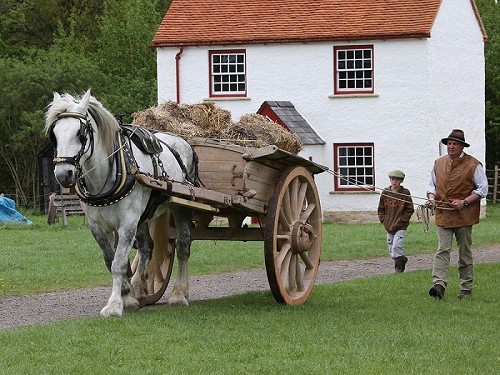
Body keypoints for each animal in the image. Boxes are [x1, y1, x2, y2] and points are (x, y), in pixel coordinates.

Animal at [45, 91, 197, 318]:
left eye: (80, 133)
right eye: (54, 135)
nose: (64, 175)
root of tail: (182, 141)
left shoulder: (126, 224)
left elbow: (118, 263)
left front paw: (115, 305)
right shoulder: (97, 226)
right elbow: (111, 260)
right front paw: (127, 294)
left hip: (180, 207)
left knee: (183, 247)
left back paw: (179, 294)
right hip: (144, 216)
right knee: (147, 247)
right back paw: (140, 288)